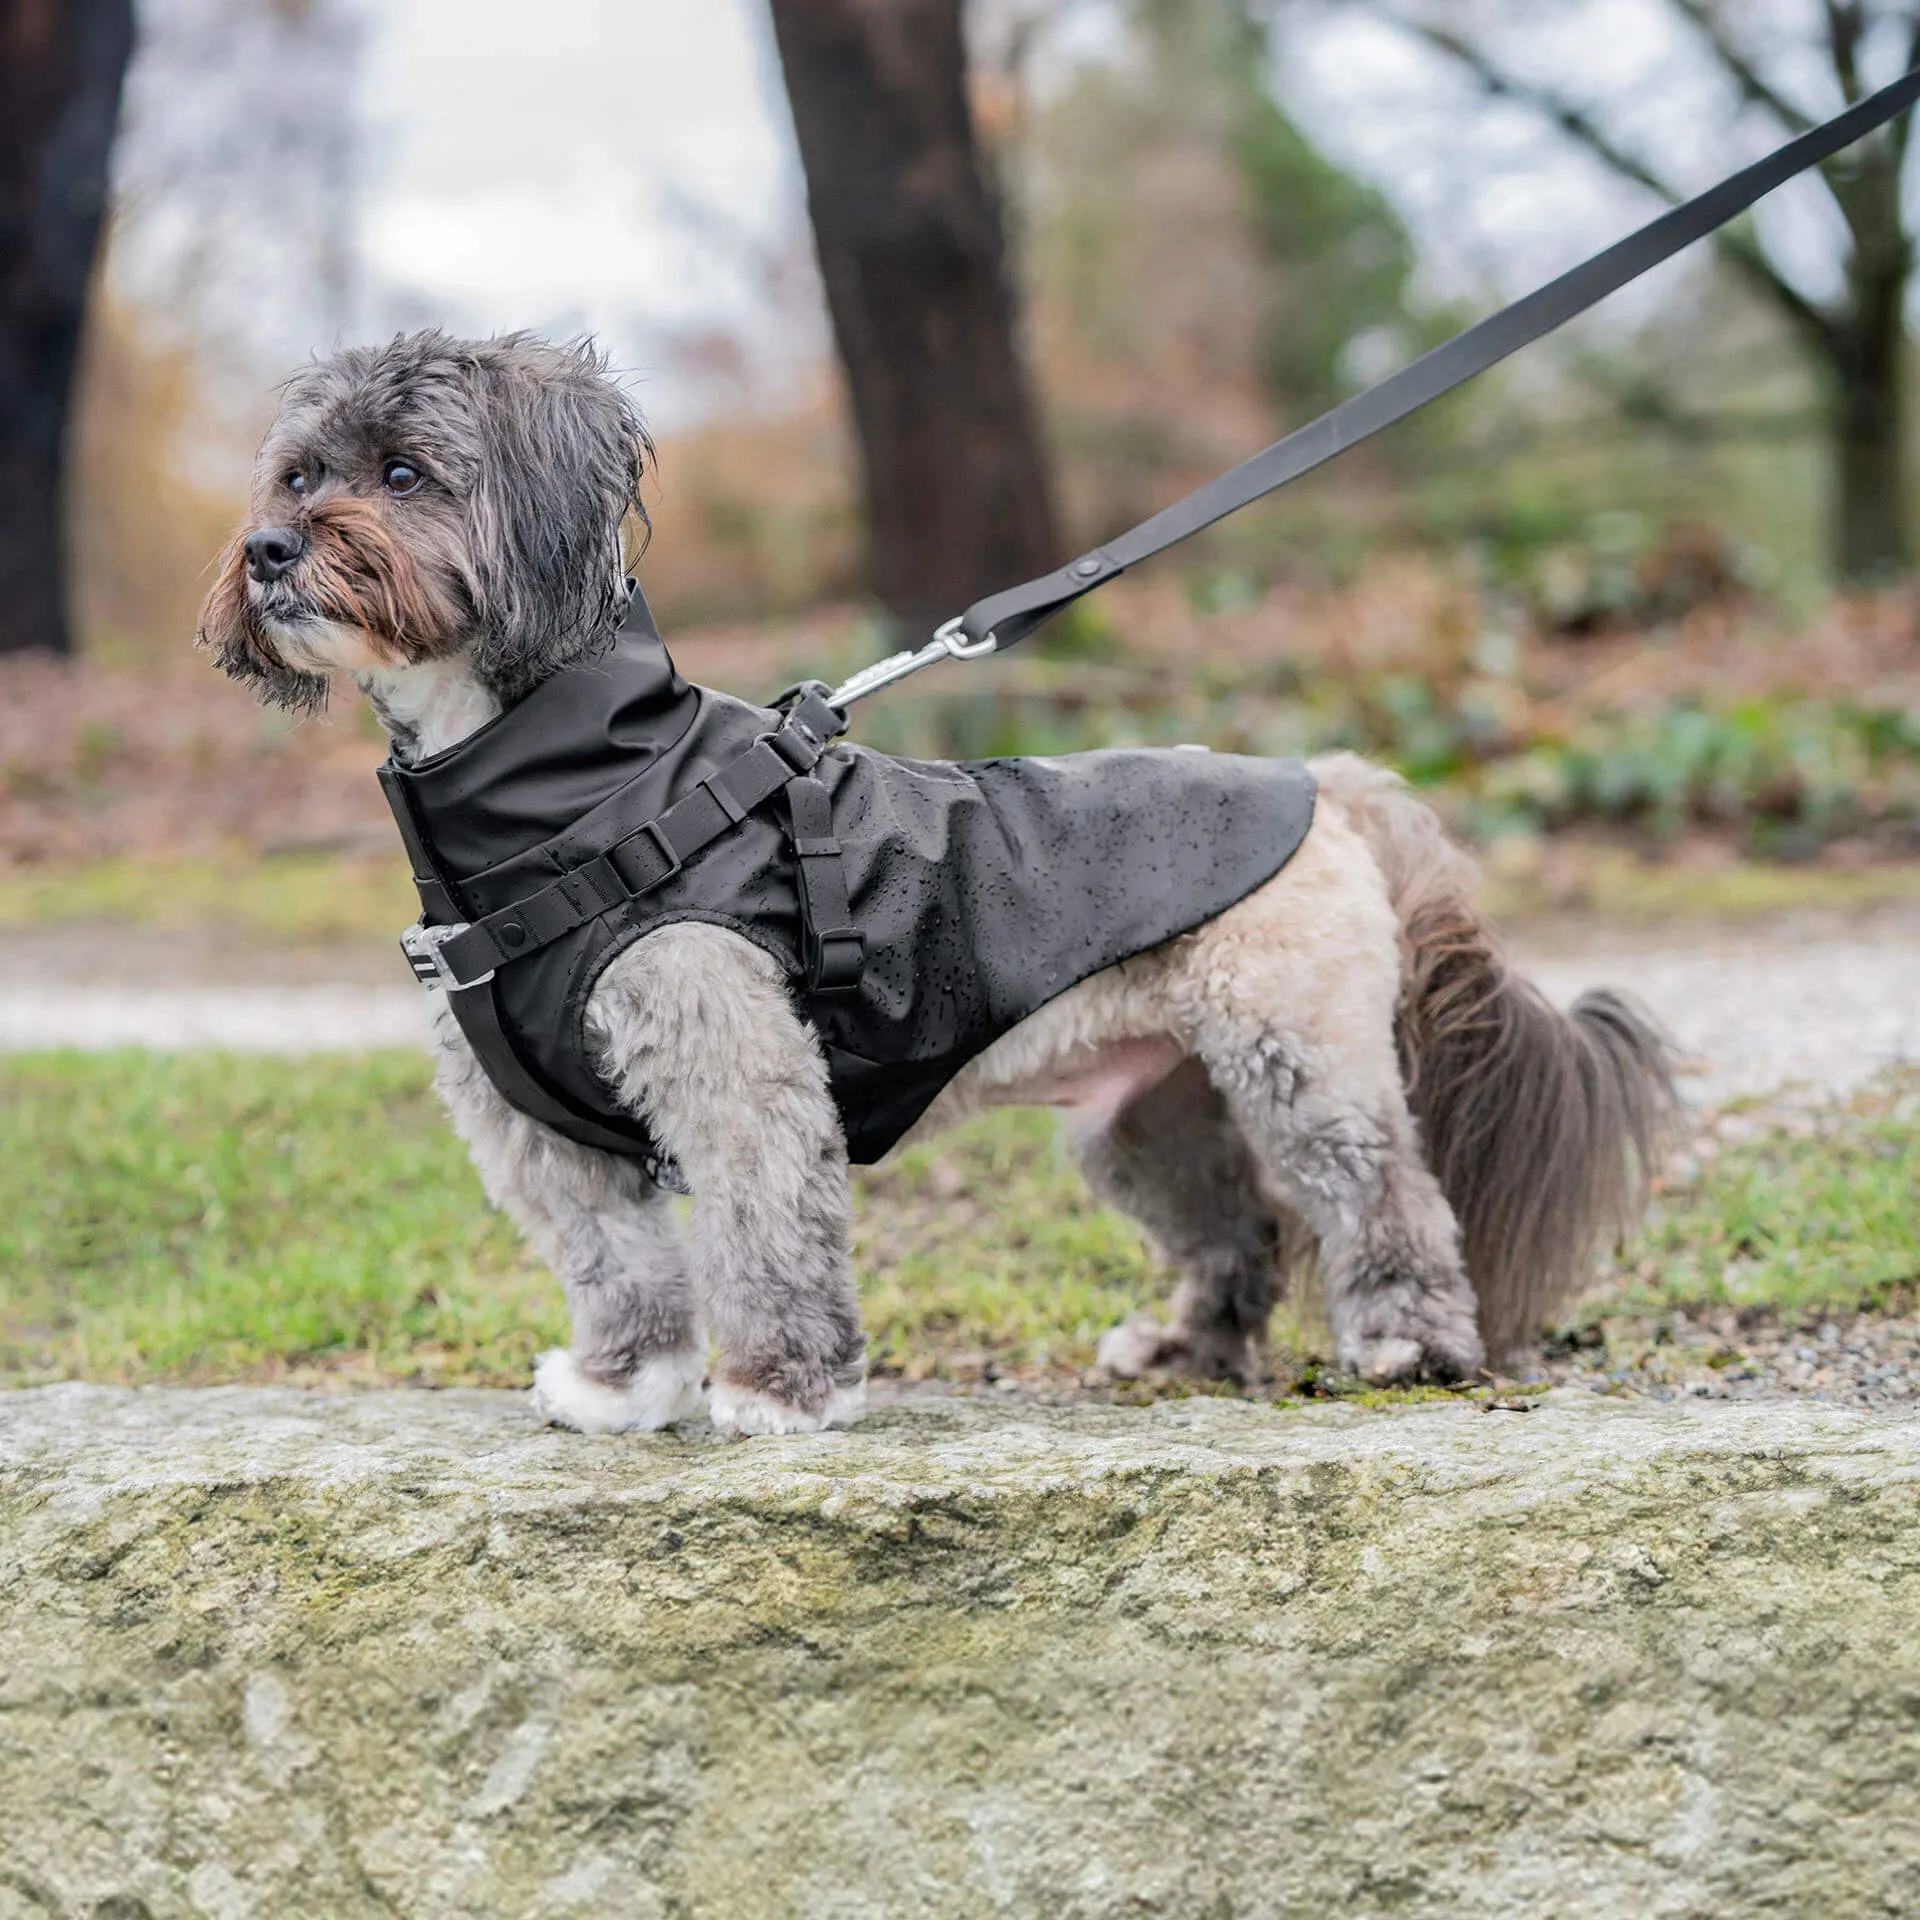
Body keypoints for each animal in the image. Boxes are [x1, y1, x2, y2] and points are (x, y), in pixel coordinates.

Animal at [191, 334, 1666, 1443]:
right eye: (297, 471)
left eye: (402, 471)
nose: (267, 548)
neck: (579, 791)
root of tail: (1324, 779)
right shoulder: (545, 1139)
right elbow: (617, 1263)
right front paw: (623, 1387)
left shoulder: (738, 1070)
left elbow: (762, 1230)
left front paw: (779, 1394)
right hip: (1150, 1121)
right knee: (1235, 1231)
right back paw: (1188, 1350)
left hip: (1301, 1064)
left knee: (1379, 1194)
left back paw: (1409, 1344)